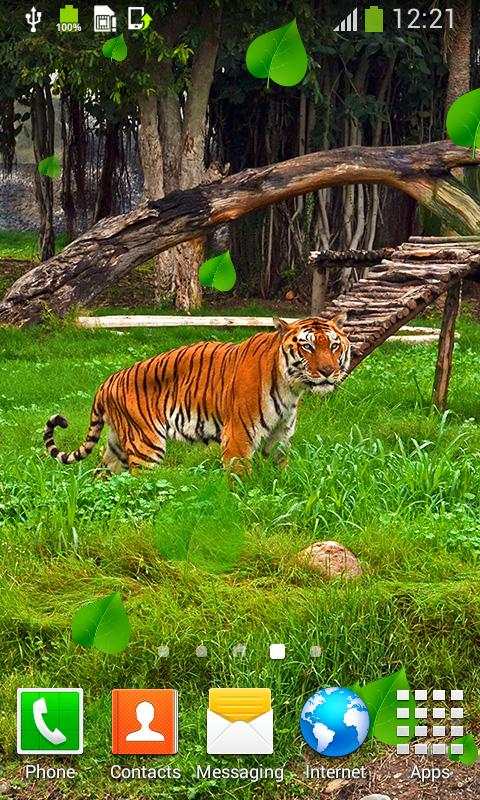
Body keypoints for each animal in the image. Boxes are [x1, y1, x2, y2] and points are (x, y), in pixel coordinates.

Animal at [43, 314, 351, 473]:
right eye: (308, 347)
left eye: (334, 345)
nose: (327, 371)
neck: (291, 388)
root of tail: (106, 382)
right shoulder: (238, 438)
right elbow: (240, 480)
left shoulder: (279, 439)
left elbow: (281, 474)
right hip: (146, 446)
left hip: (119, 444)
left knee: (103, 475)